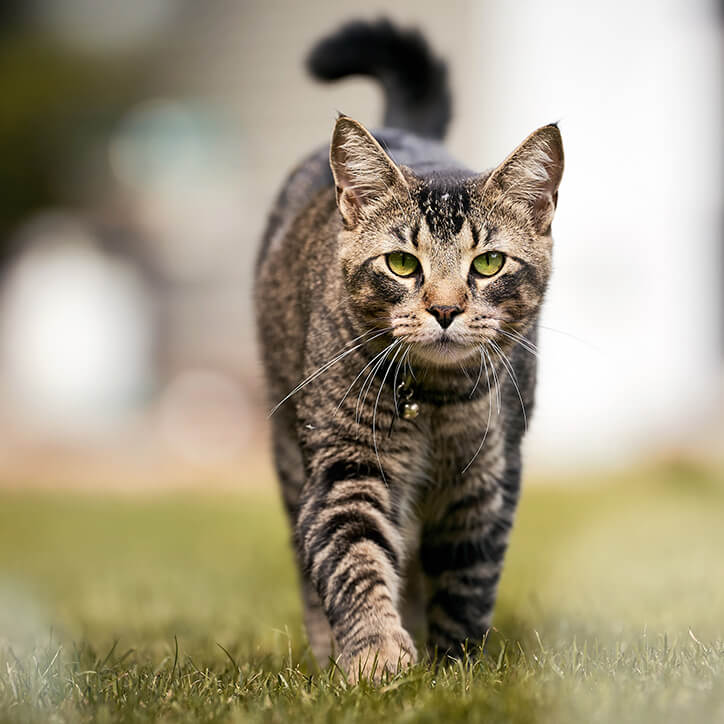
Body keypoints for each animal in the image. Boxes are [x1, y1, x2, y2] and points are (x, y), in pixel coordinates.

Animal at [255, 19, 564, 680]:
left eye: (488, 263)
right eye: (401, 262)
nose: (444, 310)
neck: (434, 400)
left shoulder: (487, 481)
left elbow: (467, 582)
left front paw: (455, 672)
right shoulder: (346, 464)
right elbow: (354, 559)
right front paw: (377, 656)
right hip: (290, 449)